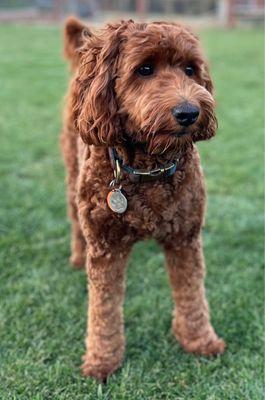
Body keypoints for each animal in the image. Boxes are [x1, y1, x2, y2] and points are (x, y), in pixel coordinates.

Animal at [60, 16, 225, 382]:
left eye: (190, 69)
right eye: (144, 69)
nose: (189, 112)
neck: (150, 167)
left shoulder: (185, 237)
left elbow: (192, 294)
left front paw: (200, 340)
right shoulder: (105, 248)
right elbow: (103, 310)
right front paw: (102, 361)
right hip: (73, 174)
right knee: (75, 221)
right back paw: (77, 257)